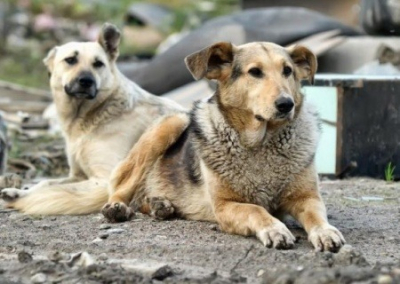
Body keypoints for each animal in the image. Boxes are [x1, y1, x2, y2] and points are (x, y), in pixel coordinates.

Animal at [0, 23, 184, 214]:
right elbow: (46, 182)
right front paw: (19, 192)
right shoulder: (76, 175)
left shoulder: (103, 179)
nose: (86, 81)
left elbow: (56, 189)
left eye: (98, 64)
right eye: (70, 60)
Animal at [102, 41, 344, 252]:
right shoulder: (225, 206)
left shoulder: (307, 198)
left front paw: (326, 232)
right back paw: (118, 208)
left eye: (287, 71)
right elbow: (256, 210)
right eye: (255, 72)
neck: (261, 143)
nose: (286, 104)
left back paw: (160, 205)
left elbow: (316, 216)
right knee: (122, 186)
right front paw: (275, 229)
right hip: (172, 123)